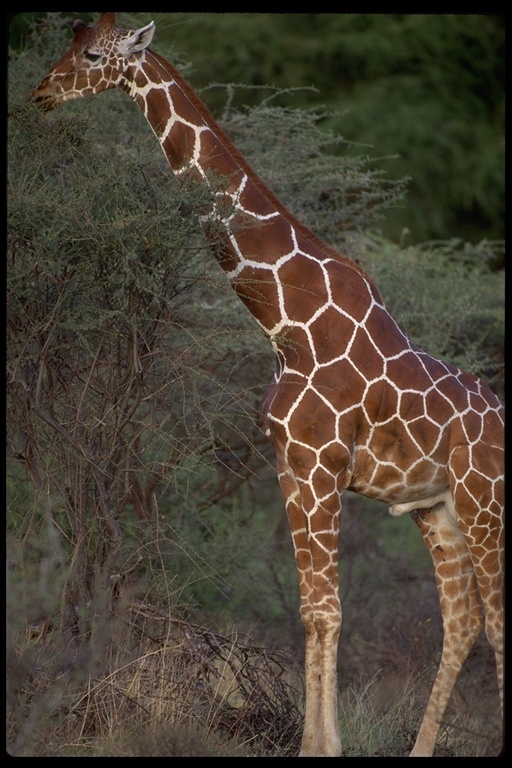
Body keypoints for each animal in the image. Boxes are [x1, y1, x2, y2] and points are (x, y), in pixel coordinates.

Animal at [32, 12, 504, 756]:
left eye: (95, 55)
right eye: (72, 42)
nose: (42, 92)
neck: (286, 322)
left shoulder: (320, 465)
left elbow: (328, 611)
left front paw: (322, 746)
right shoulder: (291, 464)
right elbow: (313, 611)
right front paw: (318, 743)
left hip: (486, 501)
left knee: (497, 622)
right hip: (440, 509)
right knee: (464, 624)